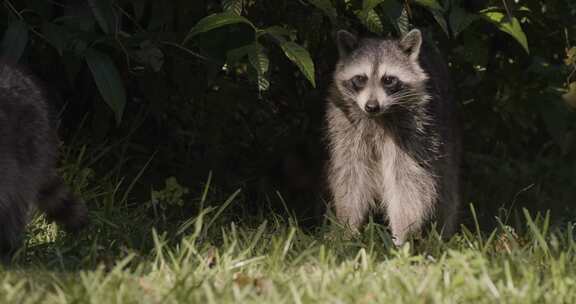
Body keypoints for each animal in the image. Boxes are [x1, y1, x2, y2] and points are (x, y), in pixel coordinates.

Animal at [326, 29, 462, 245]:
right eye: (360, 79)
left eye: (389, 80)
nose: (372, 106)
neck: (378, 117)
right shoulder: (346, 127)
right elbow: (351, 174)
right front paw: (346, 229)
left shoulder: (416, 132)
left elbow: (407, 182)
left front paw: (401, 236)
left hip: (447, 127)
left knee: (447, 183)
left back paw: (443, 232)